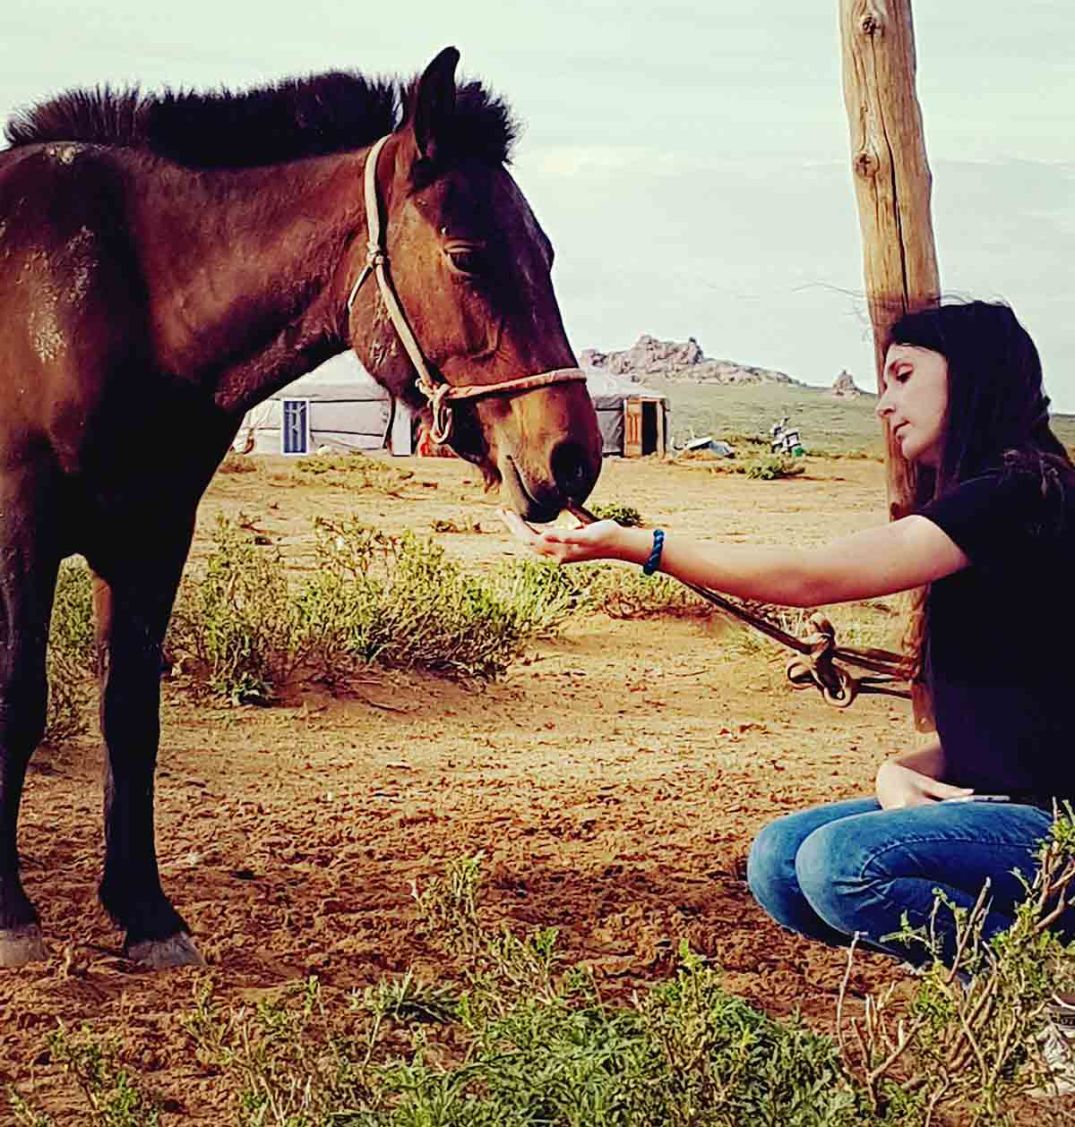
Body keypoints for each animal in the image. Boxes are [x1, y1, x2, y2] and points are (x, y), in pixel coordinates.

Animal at [0, 47, 602, 969]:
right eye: (468, 256)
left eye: (545, 250)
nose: (572, 456)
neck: (108, 295)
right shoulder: (20, 529)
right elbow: (18, 701)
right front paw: (10, 911)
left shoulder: (152, 537)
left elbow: (130, 712)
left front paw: (146, 912)